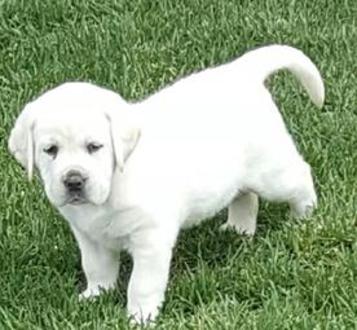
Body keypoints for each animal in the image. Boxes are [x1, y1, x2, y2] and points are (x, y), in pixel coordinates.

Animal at [9, 45, 324, 324]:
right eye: (50, 150)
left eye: (94, 147)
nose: (74, 180)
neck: (113, 182)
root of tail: (242, 71)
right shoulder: (89, 236)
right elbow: (96, 268)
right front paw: (96, 295)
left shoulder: (150, 237)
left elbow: (142, 284)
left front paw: (139, 317)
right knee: (245, 196)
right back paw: (238, 228)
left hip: (272, 172)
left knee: (300, 176)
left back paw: (304, 218)